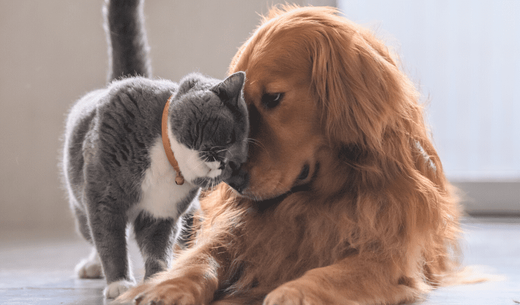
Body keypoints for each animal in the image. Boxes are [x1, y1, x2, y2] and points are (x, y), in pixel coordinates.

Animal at [61, 0, 248, 298]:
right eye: (229, 138)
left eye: (236, 162)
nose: (225, 164)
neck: (166, 162)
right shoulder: (103, 198)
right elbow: (110, 240)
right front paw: (118, 283)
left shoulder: (162, 213)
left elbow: (157, 248)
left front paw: (157, 280)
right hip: (80, 199)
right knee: (91, 232)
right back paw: (93, 266)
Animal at [120, 4, 462, 304]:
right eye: (240, 109)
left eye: (273, 98)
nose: (232, 181)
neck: (316, 198)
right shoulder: (234, 231)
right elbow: (201, 258)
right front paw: (165, 287)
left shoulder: (388, 257)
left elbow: (334, 273)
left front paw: (293, 292)